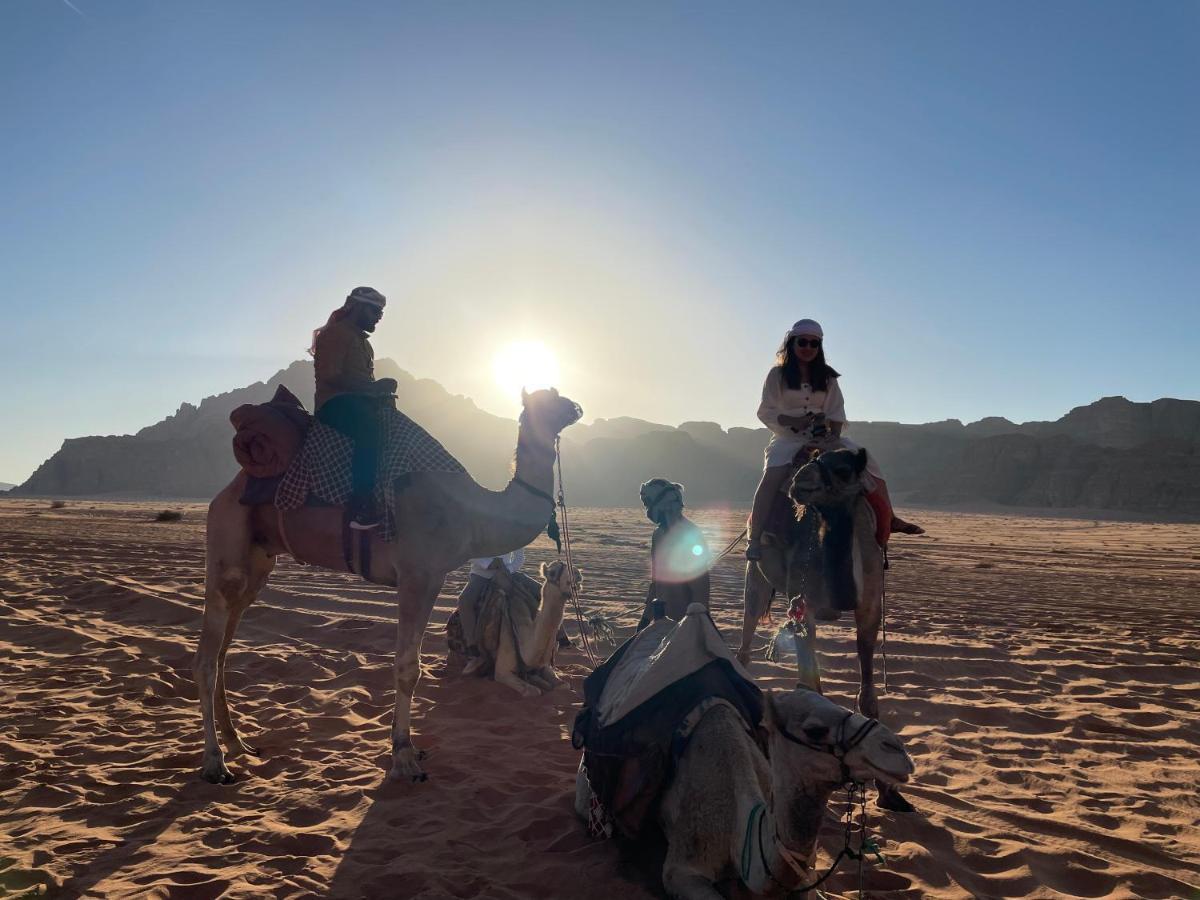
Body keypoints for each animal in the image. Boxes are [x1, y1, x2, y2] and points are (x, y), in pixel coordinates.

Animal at [451, 564, 580, 696]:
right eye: (553, 572)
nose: (577, 573)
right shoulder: (502, 671)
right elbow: (533, 691)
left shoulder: (543, 665)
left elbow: (564, 685)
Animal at [729, 448, 907, 816]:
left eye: (842, 470)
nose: (799, 481)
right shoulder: (803, 606)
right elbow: (812, 686)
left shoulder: (870, 606)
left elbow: (868, 698)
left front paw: (888, 791)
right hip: (756, 574)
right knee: (746, 637)